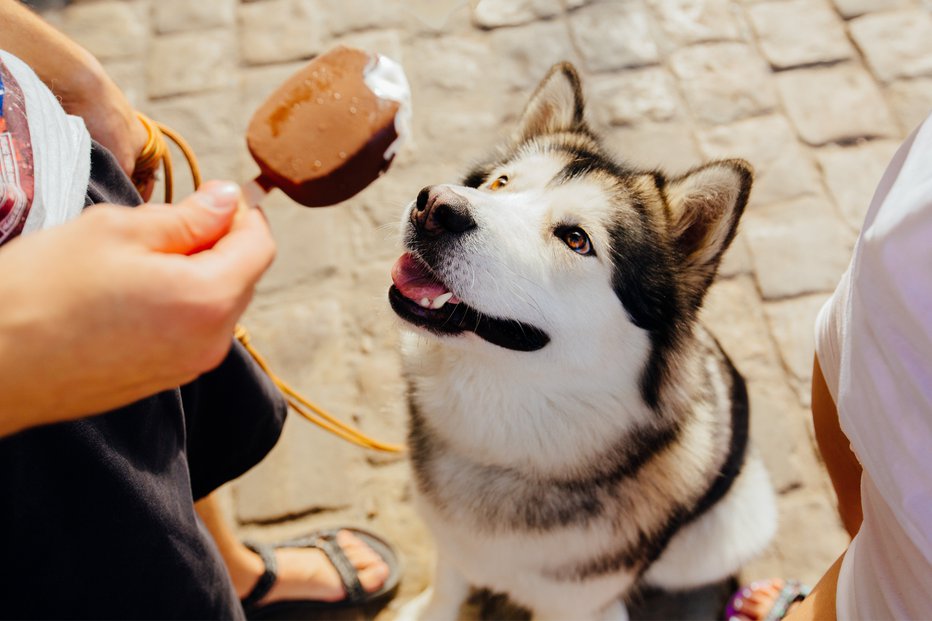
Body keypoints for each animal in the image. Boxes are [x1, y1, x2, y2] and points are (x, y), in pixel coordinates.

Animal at [390, 63, 776, 620]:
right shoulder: (452, 547)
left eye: (576, 239)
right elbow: (447, 587)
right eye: (500, 183)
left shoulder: (577, 604)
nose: (434, 206)